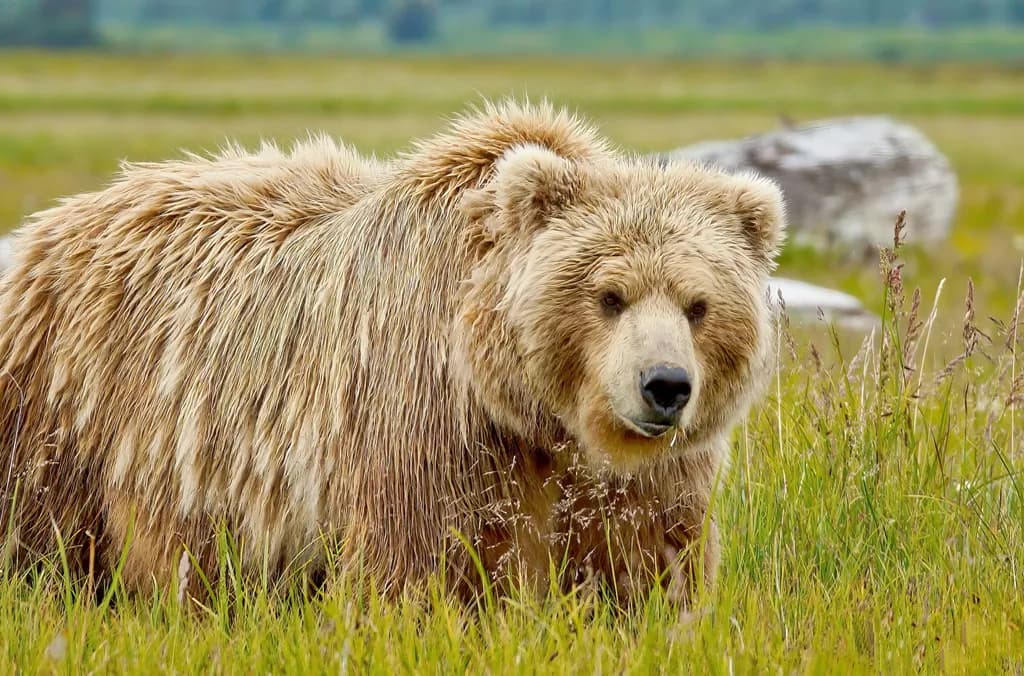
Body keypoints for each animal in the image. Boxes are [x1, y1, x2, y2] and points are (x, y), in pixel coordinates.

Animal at [0, 101, 784, 604]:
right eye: (609, 294)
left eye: (698, 304)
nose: (665, 386)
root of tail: (44, 228)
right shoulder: (421, 418)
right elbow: (419, 562)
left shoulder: (632, 478)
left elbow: (643, 562)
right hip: (67, 412)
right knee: (43, 539)